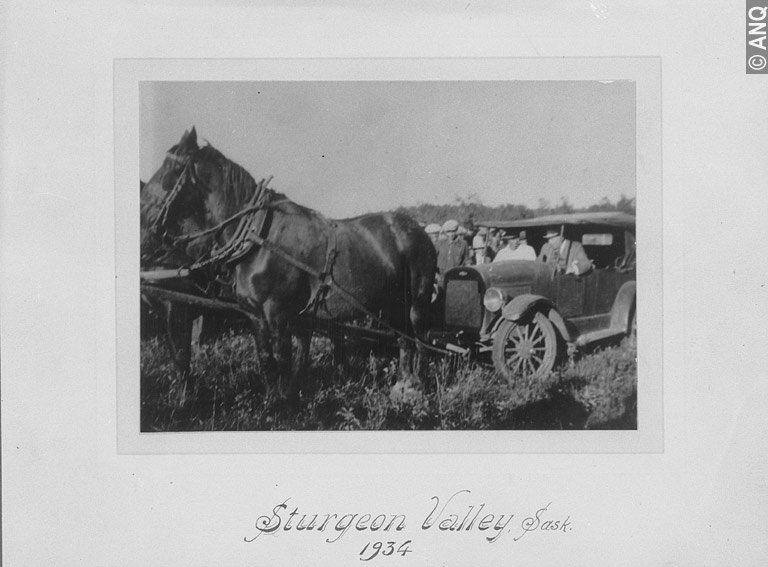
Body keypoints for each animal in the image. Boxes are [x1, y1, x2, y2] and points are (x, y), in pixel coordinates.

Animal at [140, 127, 436, 400]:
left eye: (171, 168)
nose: (142, 213)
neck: (258, 237)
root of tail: (419, 231)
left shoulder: (278, 313)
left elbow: (283, 361)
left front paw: (285, 403)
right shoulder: (255, 314)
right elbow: (266, 361)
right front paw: (272, 402)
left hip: (418, 302)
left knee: (420, 342)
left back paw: (417, 387)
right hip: (393, 303)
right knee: (404, 339)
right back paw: (402, 386)